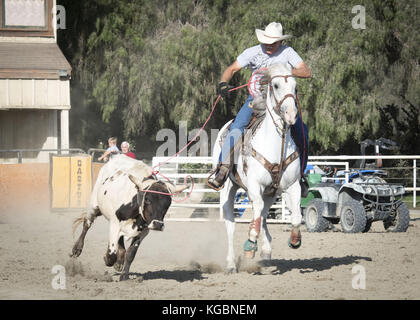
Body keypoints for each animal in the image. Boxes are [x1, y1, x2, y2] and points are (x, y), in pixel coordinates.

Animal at [213, 63, 302, 272]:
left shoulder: (292, 186)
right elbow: (257, 213)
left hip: (271, 193)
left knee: (262, 215)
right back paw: (231, 264)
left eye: (295, 87)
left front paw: (295, 239)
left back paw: (266, 252)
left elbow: (296, 215)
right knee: (231, 224)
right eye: (276, 85)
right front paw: (250, 242)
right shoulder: (255, 185)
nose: (291, 114)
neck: (276, 144)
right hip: (228, 188)